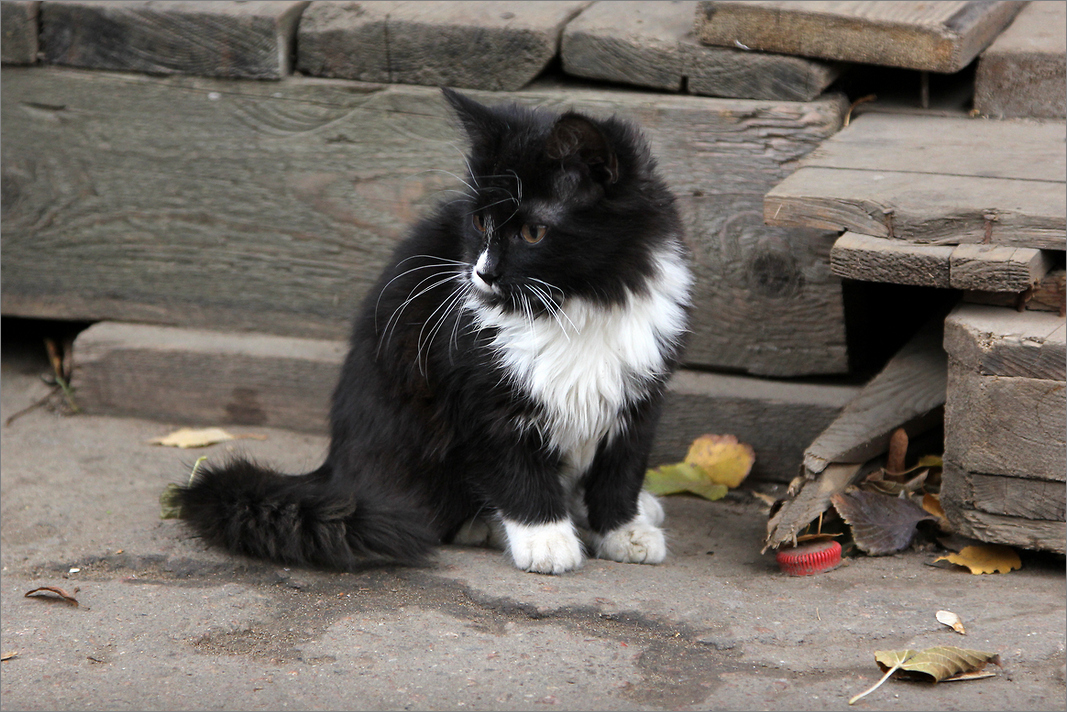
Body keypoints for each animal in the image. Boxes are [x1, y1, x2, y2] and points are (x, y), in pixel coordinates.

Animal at [169, 89, 691, 576]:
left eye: (533, 233)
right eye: (480, 221)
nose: (483, 274)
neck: (578, 303)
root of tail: (336, 469)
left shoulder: (641, 391)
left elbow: (621, 467)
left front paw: (623, 529)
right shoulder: (479, 389)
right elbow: (514, 466)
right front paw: (545, 538)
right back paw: (483, 525)